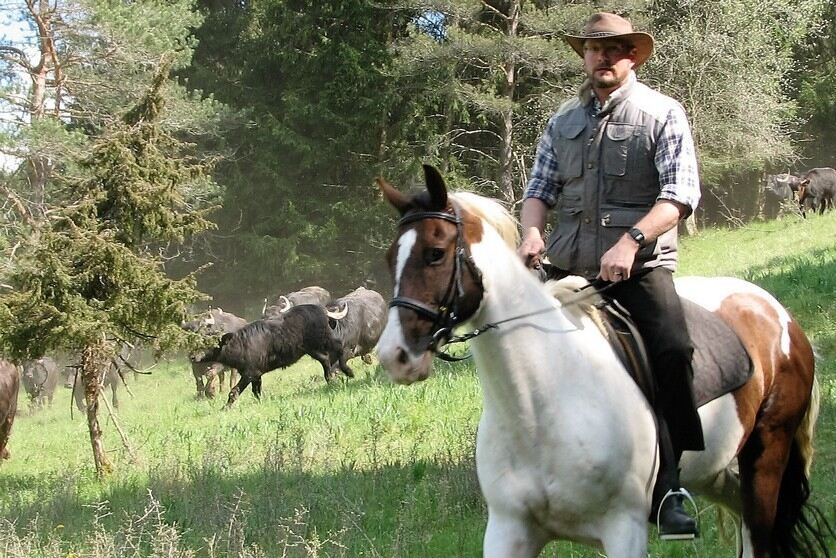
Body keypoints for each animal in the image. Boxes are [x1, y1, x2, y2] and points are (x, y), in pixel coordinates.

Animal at [194, 304, 352, 410]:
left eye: (211, 343)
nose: (193, 357)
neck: (241, 345)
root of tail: (323, 311)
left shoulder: (249, 374)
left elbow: (234, 391)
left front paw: (224, 408)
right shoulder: (256, 375)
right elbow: (256, 392)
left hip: (325, 339)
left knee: (341, 347)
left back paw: (349, 372)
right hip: (312, 349)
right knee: (325, 359)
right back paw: (330, 380)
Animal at [378, 166, 828, 558]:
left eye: (435, 253)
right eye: (389, 259)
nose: (394, 356)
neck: (540, 405)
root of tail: (776, 313)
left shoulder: (623, 529)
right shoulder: (509, 531)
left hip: (766, 459)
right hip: (719, 473)